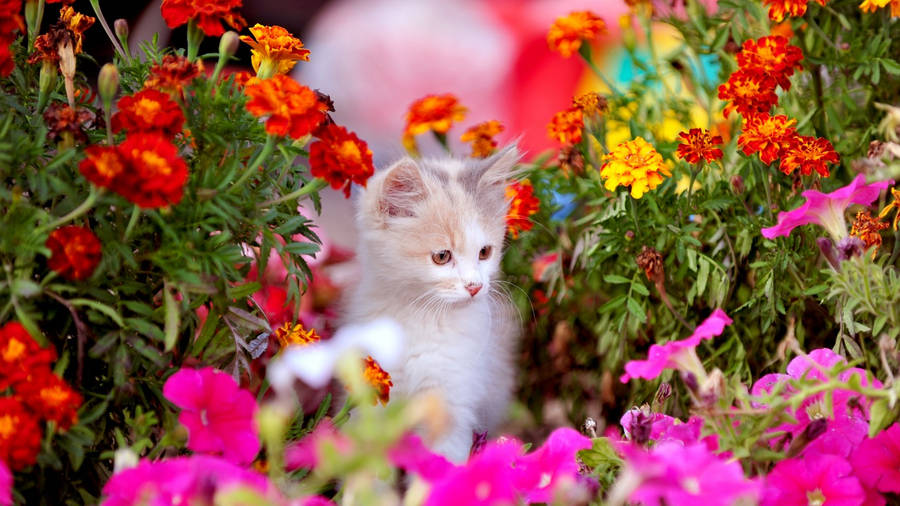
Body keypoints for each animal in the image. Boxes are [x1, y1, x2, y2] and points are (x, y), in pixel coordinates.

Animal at [346, 143, 528, 462]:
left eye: (484, 252)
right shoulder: (373, 388)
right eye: (442, 256)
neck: (422, 317)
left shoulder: (452, 400)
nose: (475, 286)